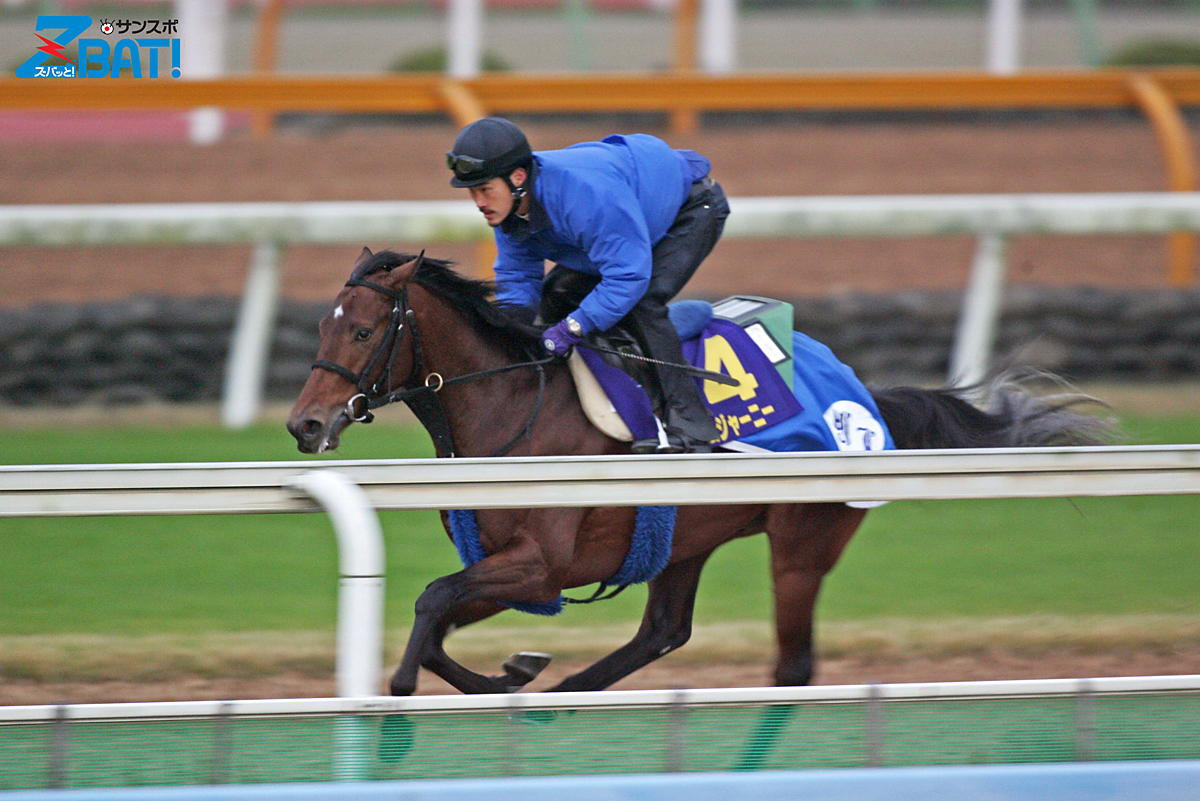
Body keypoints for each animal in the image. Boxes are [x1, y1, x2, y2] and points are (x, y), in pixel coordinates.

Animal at [288, 248, 1104, 695]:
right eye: (322, 325)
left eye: (363, 330)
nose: (305, 423)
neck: (514, 407)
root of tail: (867, 398)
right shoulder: (512, 566)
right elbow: (437, 622)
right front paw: (515, 673)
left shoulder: (542, 564)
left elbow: (431, 605)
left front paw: (435, 683)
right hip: (683, 536)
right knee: (663, 632)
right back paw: (577, 688)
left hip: (801, 541)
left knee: (792, 664)